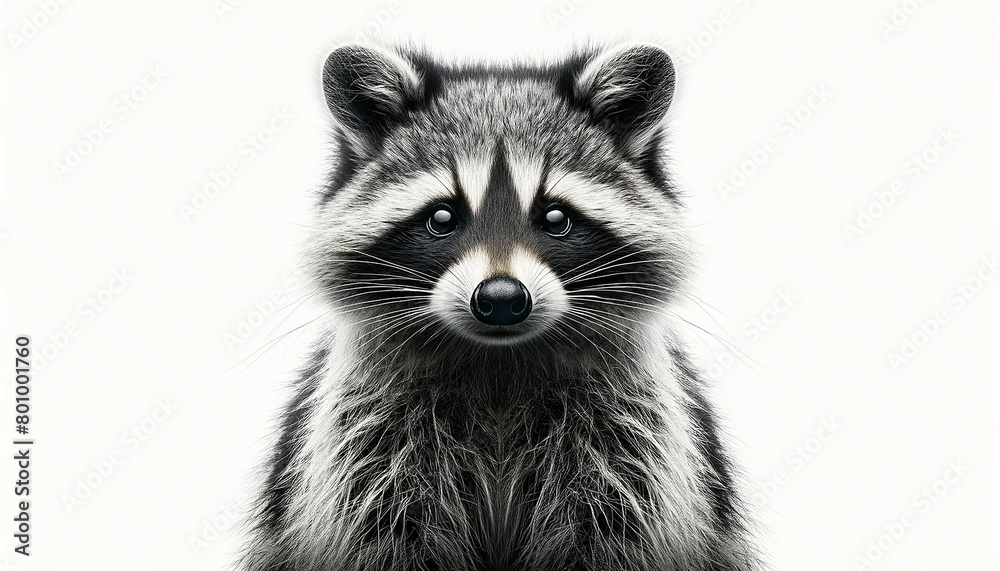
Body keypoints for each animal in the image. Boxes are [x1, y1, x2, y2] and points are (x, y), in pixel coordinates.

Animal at [242, 44, 760, 571]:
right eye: (442, 217)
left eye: (556, 217)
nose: (501, 300)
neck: (499, 364)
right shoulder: (366, 445)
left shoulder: (631, 444)